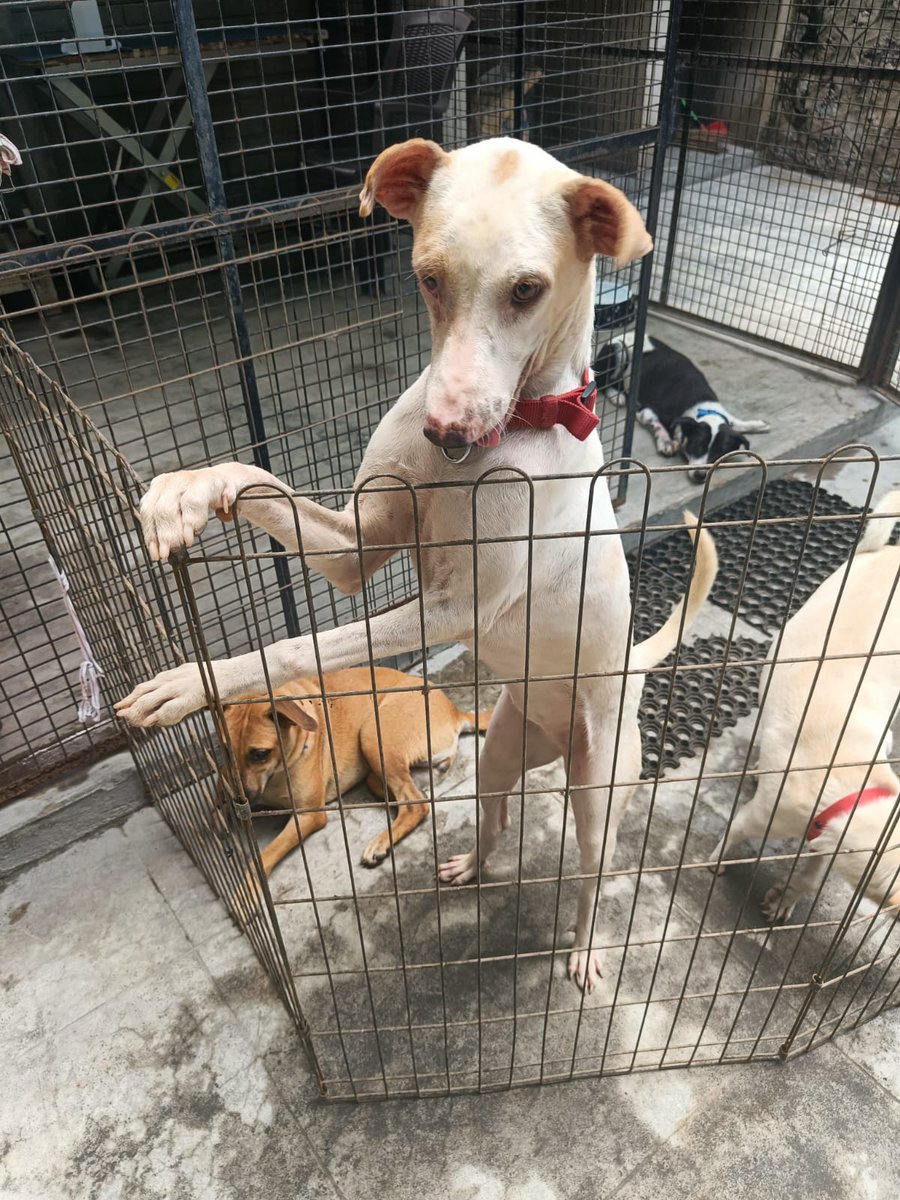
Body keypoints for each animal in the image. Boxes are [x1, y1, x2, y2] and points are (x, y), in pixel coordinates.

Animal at [225, 667, 494, 873]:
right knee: (408, 794)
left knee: (414, 804)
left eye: (260, 754)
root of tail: (456, 712)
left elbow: (265, 856)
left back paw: (380, 843)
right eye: (226, 752)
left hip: (372, 733)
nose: (243, 802)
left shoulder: (308, 814)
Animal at [600, 333, 768, 482]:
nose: (700, 476)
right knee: (603, 382)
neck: (701, 408)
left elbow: (737, 423)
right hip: (619, 351)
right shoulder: (645, 411)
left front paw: (758, 425)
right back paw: (616, 395)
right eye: (697, 446)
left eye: (720, 452)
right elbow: (655, 422)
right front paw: (666, 441)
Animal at [710, 487, 900, 916]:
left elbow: (812, 873)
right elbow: (732, 834)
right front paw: (715, 863)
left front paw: (785, 899)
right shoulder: (761, 817)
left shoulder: (825, 836)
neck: (853, 785)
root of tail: (888, 552)